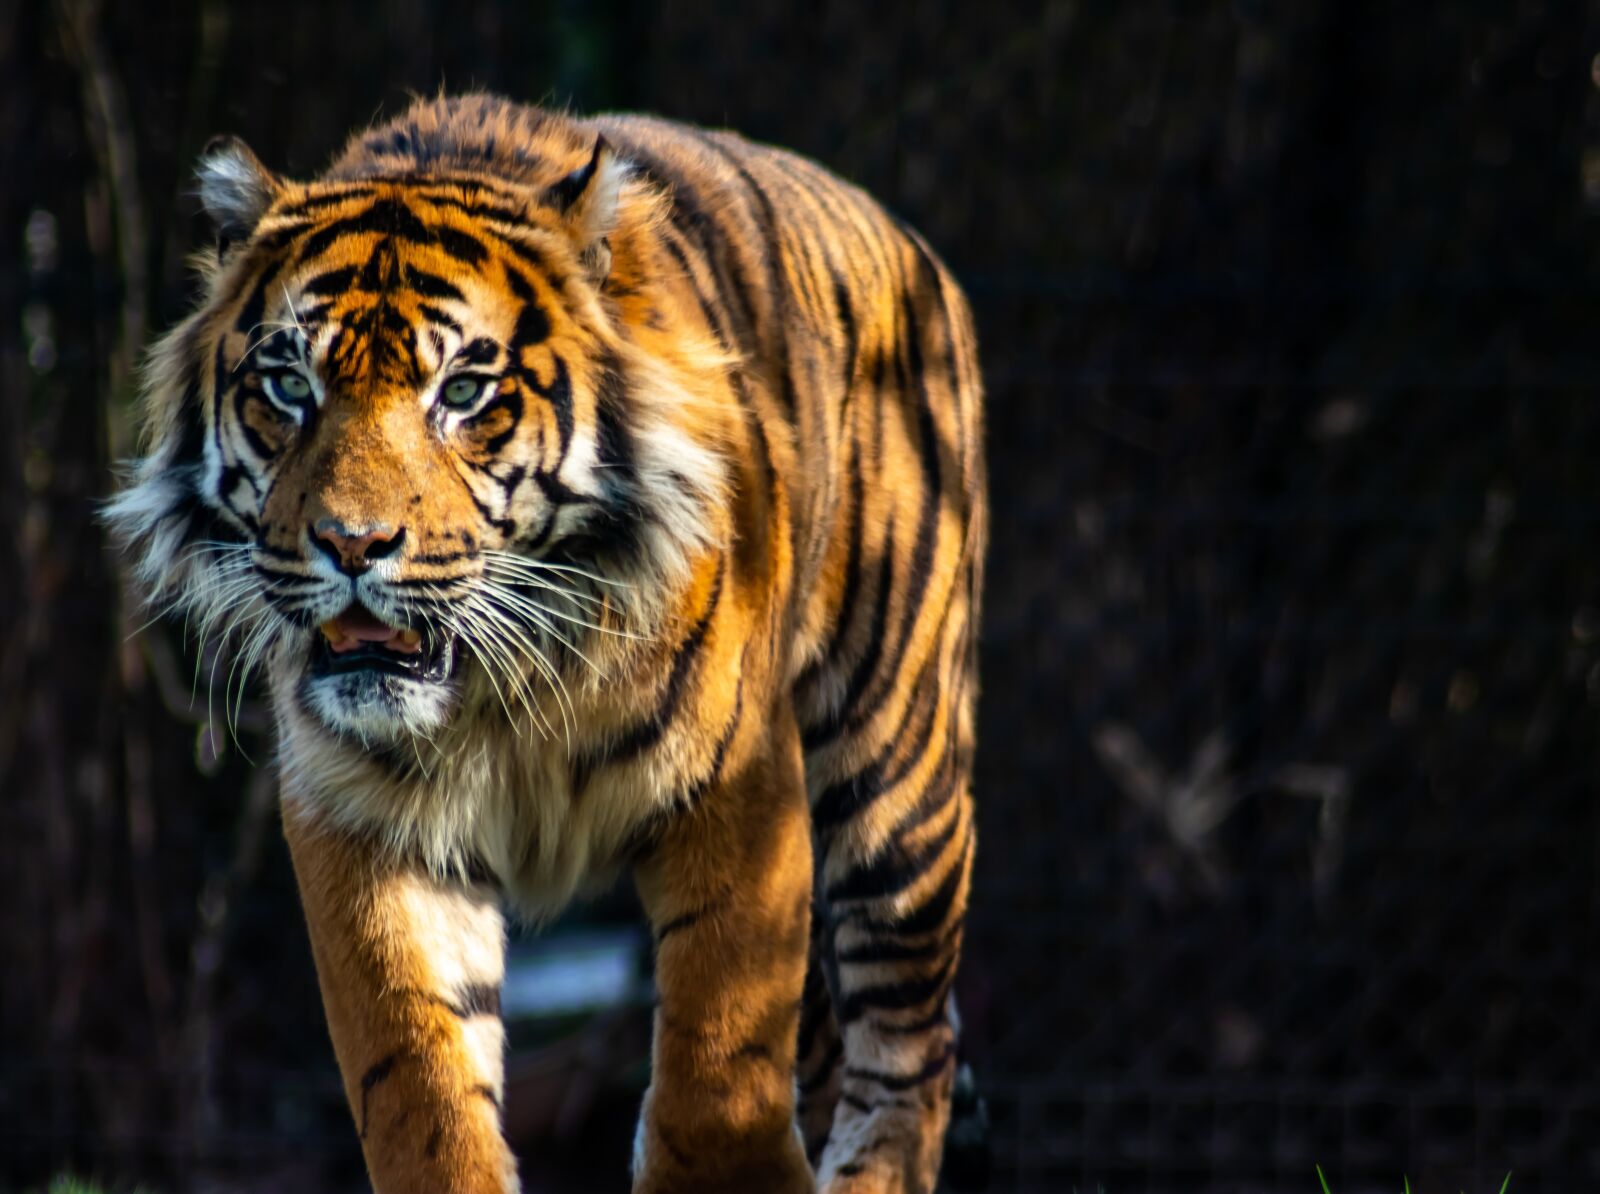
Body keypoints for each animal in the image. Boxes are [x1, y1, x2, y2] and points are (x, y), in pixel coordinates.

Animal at [106, 95, 979, 1190]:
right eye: (288, 385)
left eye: (463, 393)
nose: (352, 543)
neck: (498, 688)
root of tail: (905, 238)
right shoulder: (362, 821)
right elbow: (418, 1083)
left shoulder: (738, 786)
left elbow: (719, 1066)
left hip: (897, 778)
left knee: (910, 1046)